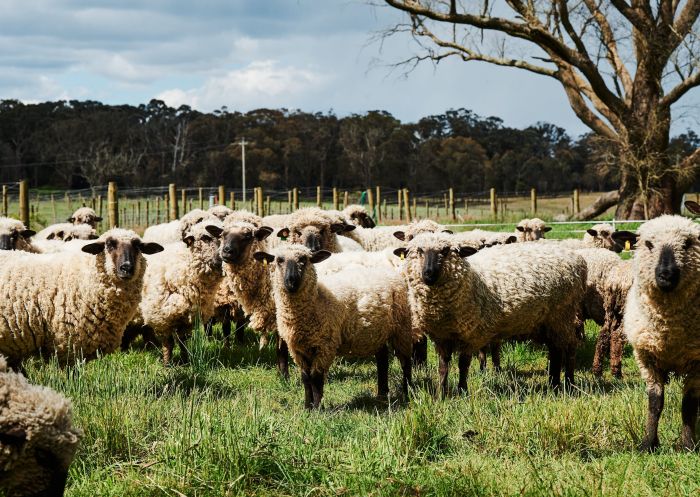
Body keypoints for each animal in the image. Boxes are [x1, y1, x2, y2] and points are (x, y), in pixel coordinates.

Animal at [128, 221, 224, 365]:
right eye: (204, 238)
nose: (222, 259)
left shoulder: (189, 318)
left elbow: (183, 342)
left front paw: (185, 361)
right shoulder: (162, 317)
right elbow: (168, 343)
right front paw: (167, 364)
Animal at [254, 245, 417, 409]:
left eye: (303, 259)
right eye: (279, 260)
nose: (291, 281)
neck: (317, 301)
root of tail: (390, 272)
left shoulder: (325, 345)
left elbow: (316, 378)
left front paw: (317, 408)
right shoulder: (297, 349)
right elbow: (305, 377)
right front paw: (307, 407)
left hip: (402, 328)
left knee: (405, 361)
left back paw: (407, 392)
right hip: (377, 332)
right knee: (382, 359)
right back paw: (381, 395)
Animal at [395, 233, 586, 395]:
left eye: (446, 250)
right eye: (418, 251)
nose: (428, 274)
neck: (471, 281)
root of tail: (577, 259)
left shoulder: (470, 334)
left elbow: (463, 364)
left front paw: (462, 391)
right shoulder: (441, 336)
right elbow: (443, 367)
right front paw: (441, 394)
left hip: (562, 313)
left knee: (567, 347)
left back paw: (568, 384)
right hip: (548, 320)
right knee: (555, 349)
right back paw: (553, 384)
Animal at [623, 215, 700, 452]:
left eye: (687, 243)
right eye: (648, 244)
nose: (666, 275)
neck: (669, 331)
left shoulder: (697, 360)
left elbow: (689, 404)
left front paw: (688, 444)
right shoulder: (646, 356)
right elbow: (655, 402)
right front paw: (648, 443)